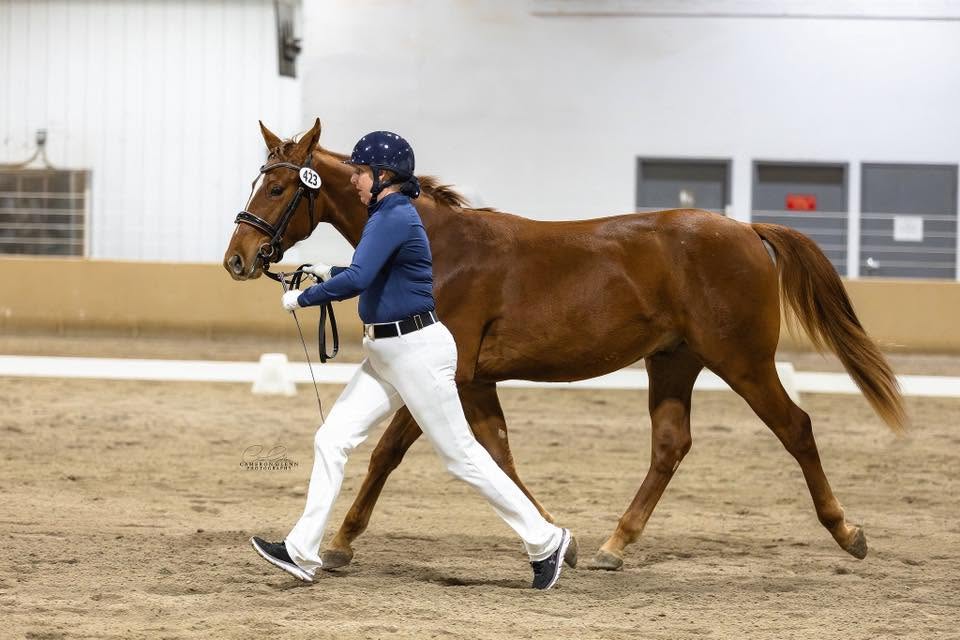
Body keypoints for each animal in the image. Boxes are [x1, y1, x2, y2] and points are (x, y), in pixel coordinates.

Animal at [223, 118, 905, 571]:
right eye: (258, 181)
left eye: (279, 189)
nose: (238, 259)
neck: (439, 245)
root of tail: (746, 230)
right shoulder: (477, 381)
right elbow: (498, 454)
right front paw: (555, 539)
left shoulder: (448, 374)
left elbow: (390, 452)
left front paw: (339, 543)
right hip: (674, 362)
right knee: (671, 445)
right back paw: (614, 545)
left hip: (742, 360)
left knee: (796, 428)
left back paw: (848, 533)